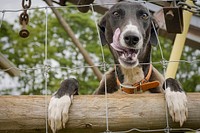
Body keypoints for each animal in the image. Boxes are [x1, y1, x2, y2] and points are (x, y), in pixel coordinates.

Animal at [48, 1, 188, 132]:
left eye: (144, 15)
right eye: (115, 14)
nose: (131, 37)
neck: (131, 82)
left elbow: (169, 79)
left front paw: (177, 97)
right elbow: (71, 80)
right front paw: (59, 101)